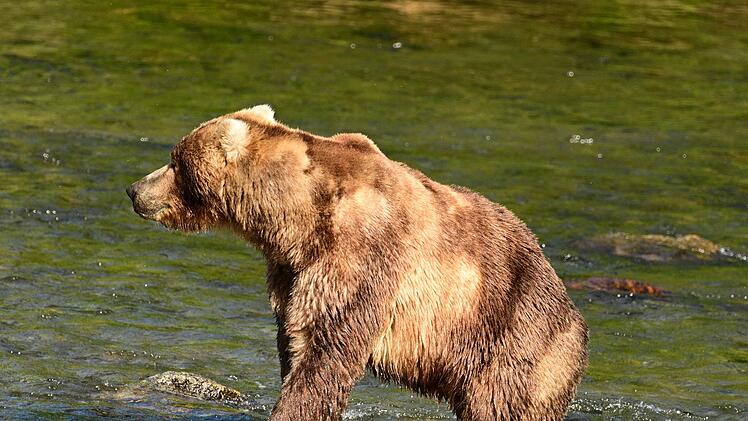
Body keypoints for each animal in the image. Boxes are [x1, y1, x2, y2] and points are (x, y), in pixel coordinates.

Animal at [126, 105, 588, 421]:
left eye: (175, 160)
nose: (134, 189)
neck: (294, 220)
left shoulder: (359, 255)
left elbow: (329, 347)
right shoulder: (293, 271)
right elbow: (296, 338)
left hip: (510, 332)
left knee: (501, 402)